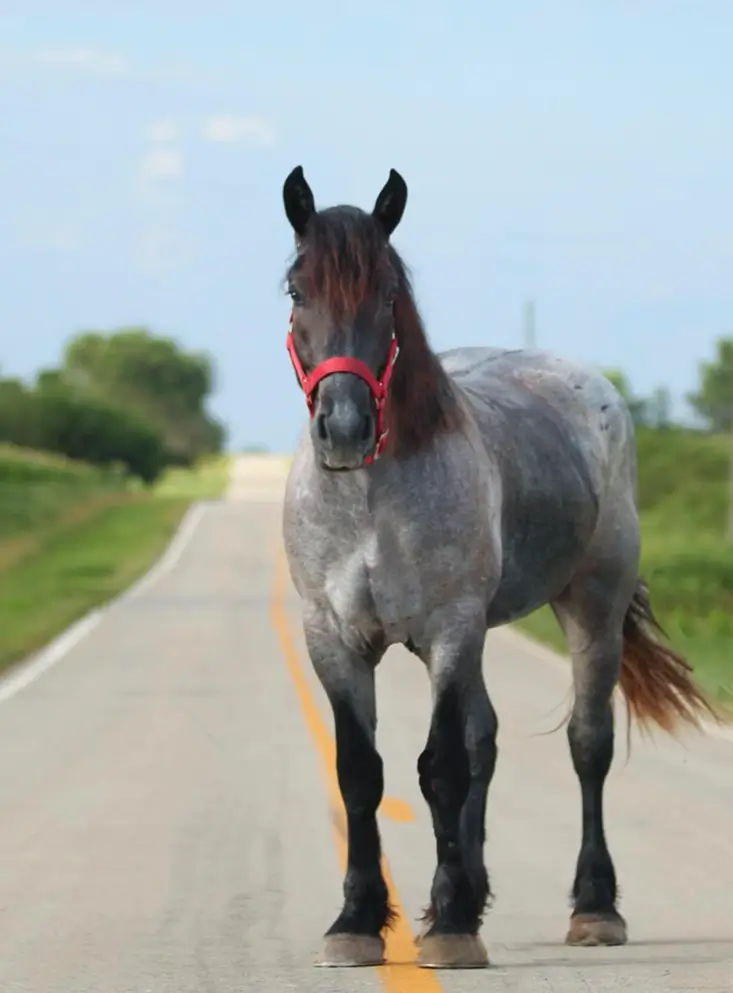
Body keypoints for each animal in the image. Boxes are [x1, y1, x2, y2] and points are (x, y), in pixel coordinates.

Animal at [278, 165, 716, 968]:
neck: (369, 499)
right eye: (297, 291)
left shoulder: (452, 629)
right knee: (485, 738)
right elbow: (361, 771)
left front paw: (449, 926)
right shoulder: (333, 638)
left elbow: (442, 766)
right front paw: (359, 920)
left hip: (591, 605)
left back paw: (594, 906)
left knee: (586, 743)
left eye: (388, 293)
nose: (345, 427)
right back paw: (471, 894)